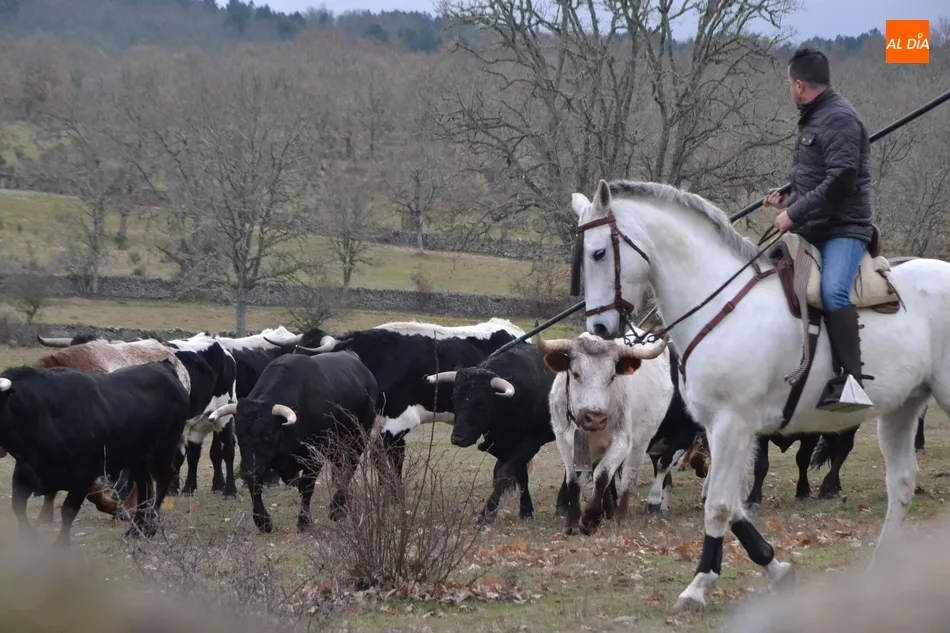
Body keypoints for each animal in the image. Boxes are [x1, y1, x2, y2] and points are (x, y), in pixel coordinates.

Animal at [569, 178, 950, 614]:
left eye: (599, 253)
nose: (600, 328)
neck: (723, 307)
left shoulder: (733, 424)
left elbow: (718, 505)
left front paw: (698, 587)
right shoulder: (722, 430)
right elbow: (732, 503)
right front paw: (776, 569)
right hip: (901, 410)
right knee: (901, 485)